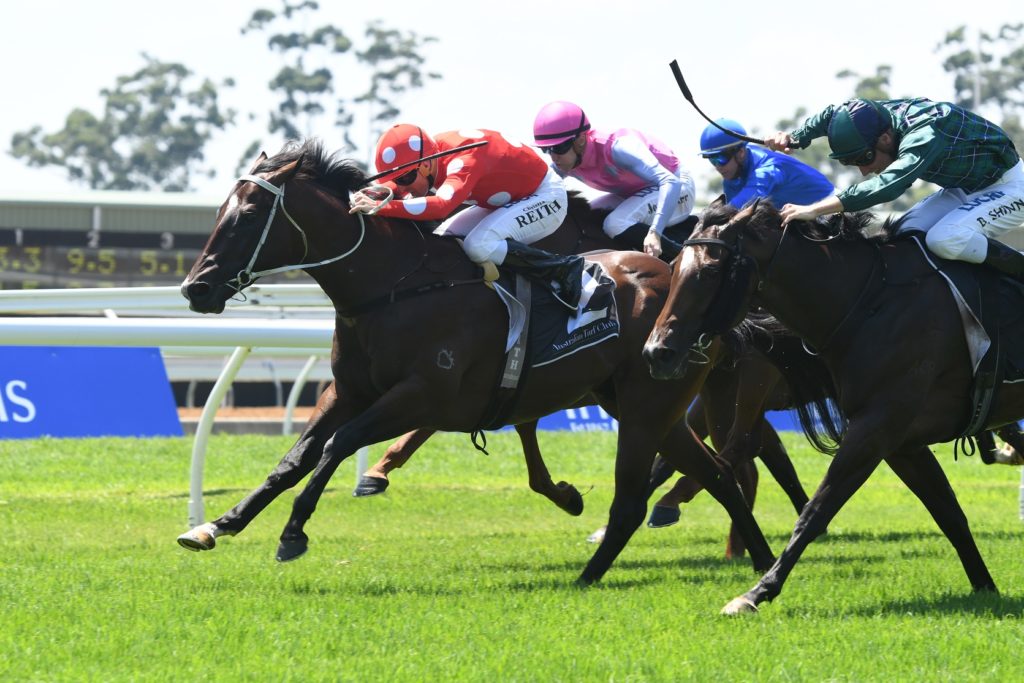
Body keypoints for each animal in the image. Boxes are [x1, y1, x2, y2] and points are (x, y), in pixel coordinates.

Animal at [174, 139, 775, 584]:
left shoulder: (423, 394)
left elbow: (338, 445)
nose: (195, 289)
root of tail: (678, 277)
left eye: (249, 214)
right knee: (717, 473)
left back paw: (593, 575)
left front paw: (293, 532)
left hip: (649, 404)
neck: (394, 286)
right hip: (644, 404)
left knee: (644, 494)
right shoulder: (348, 391)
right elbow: (295, 457)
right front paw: (216, 525)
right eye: (222, 210)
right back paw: (762, 561)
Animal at [643, 198, 1023, 613]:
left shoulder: (874, 429)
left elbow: (815, 510)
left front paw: (755, 593)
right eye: (674, 267)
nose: (657, 352)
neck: (871, 302)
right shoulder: (901, 442)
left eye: (711, 271)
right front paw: (986, 587)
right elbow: (949, 513)